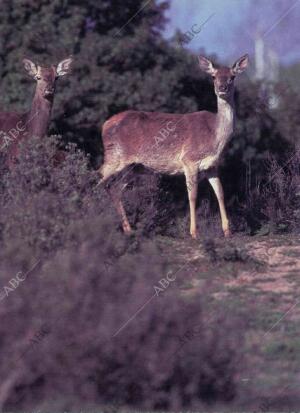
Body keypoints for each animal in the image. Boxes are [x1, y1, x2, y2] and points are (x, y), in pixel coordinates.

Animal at [99, 54, 250, 238]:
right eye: (213, 76)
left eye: (232, 77)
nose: (222, 88)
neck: (215, 137)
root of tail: (105, 125)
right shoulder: (189, 159)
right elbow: (193, 195)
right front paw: (194, 232)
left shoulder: (212, 166)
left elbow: (220, 193)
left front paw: (227, 231)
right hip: (116, 156)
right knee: (99, 177)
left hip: (134, 167)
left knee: (115, 188)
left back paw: (128, 229)